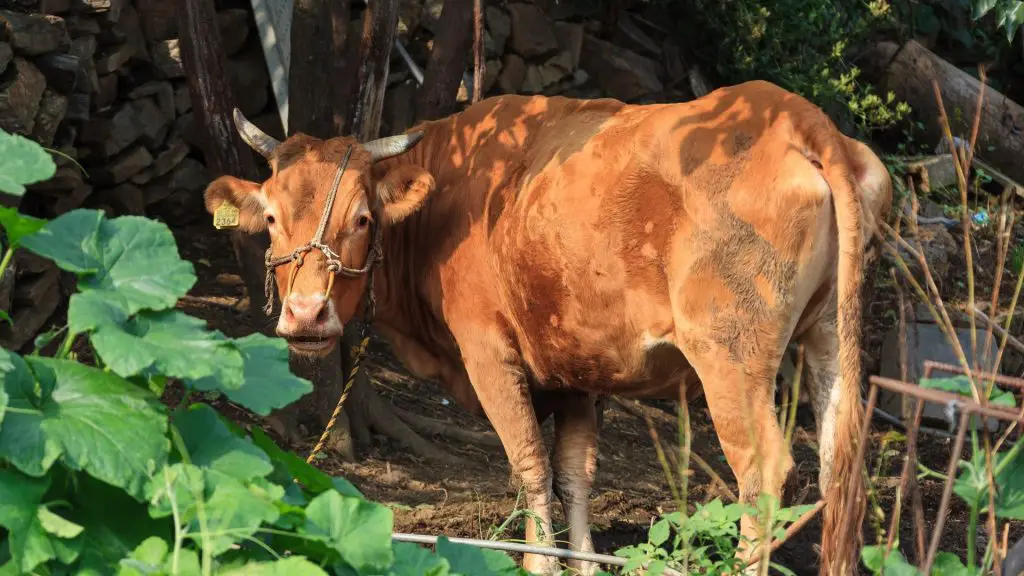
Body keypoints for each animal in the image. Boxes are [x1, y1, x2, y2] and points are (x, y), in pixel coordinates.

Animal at [203, 80, 892, 573]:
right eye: (270, 217)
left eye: (363, 218)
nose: (306, 314)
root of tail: (797, 116)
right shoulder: (577, 367)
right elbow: (575, 472)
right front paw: (580, 561)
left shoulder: (489, 354)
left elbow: (530, 464)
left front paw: (540, 562)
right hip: (830, 339)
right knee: (840, 467)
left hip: (730, 357)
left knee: (763, 474)